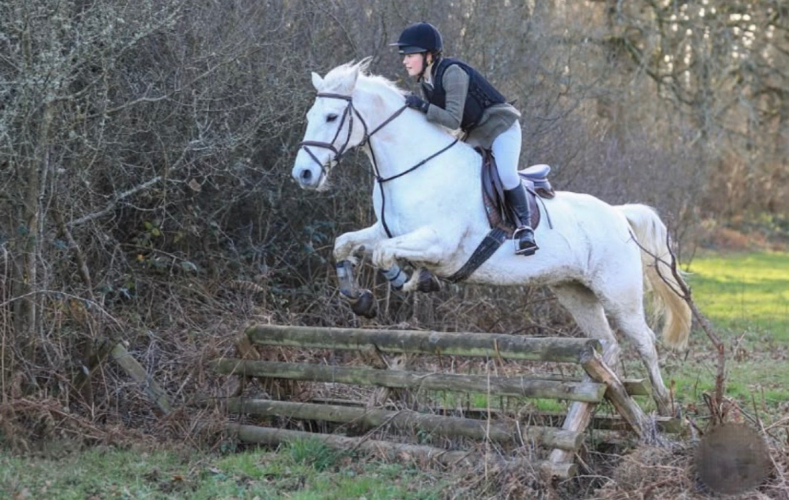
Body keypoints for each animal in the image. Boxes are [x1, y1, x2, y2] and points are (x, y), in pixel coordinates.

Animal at [291, 59, 692, 416]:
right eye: (310, 116)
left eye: (331, 117)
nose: (304, 174)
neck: (416, 166)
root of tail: (618, 214)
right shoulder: (385, 231)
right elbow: (344, 244)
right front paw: (360, 299)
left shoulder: (440, 244)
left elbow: (386, 256)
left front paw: (412, 280)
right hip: (575, 291)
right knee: (607, 344)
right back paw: (613, 396)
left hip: (618, 293)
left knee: (644, 341)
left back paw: (664, 408)